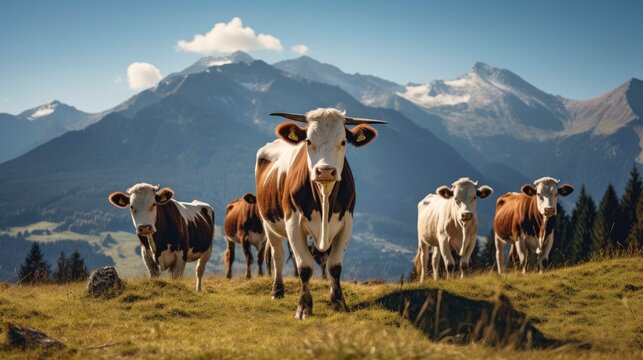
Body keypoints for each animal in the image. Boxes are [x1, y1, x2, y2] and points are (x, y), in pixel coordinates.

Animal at [255, 107, 388, 318]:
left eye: (343, 141)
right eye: (308, 141)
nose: (325, 171)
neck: (324, 197)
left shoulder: (347, 223)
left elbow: (334, 266)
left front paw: (339, 302)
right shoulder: (293, 223)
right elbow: (305, 267)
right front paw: (303, 307)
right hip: (268, 222)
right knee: (278, 255)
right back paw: (277, 291)